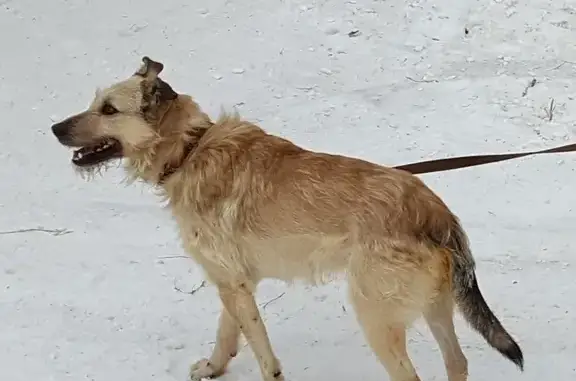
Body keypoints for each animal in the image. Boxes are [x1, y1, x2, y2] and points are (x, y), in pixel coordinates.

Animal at [51, 56, 524, 380]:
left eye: (109, 110)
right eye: (95, 103)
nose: (55, 129)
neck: (190, 148)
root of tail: (435, 212)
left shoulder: (234, 285)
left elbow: (263, 355)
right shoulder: (234, 282)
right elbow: (227, 333)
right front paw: (214, 367)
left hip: (377, 316)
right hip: (436, 307)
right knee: (457, 362)